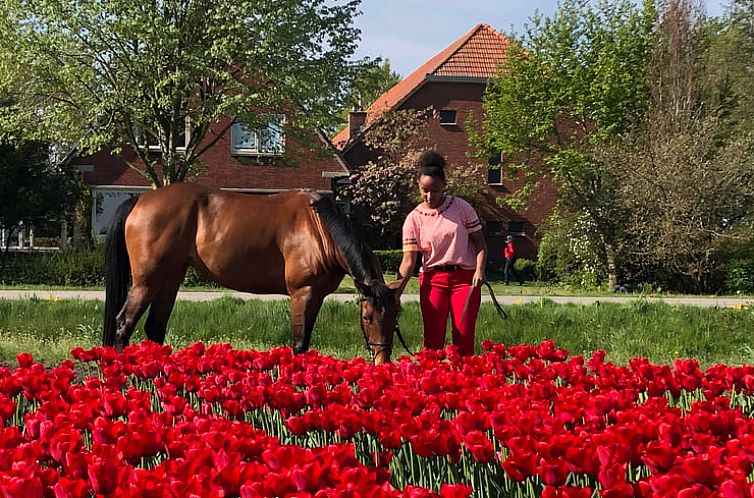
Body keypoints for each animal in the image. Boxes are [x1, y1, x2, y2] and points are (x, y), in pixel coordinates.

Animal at [103, 183, 408, 362]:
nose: (382, 361)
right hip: (146, 281)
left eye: (396, 316)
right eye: (367, 317)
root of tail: (140, 199)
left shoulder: (317, 296)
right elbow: (299, 344)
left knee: (155, 328)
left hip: (170, 279)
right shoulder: (303, 293)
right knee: (123, 324)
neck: (319, 227)